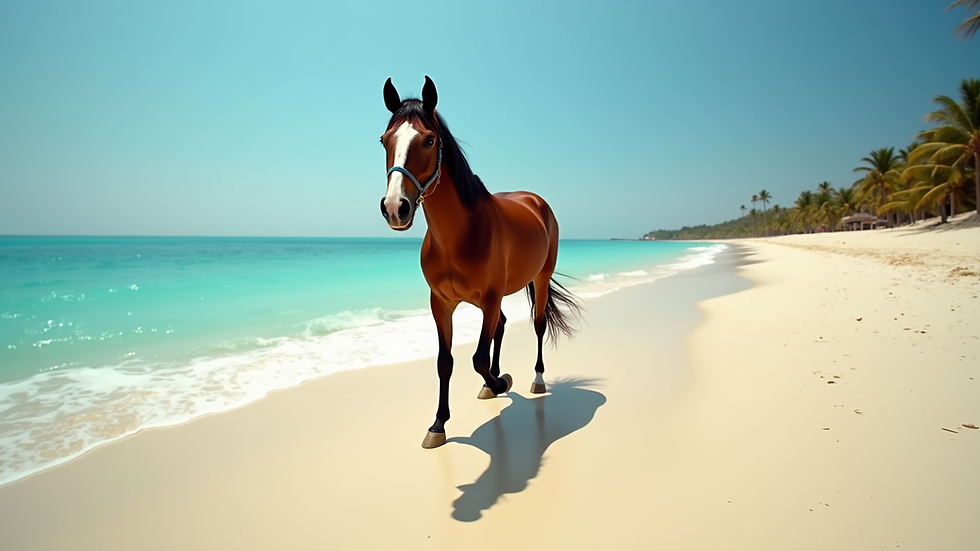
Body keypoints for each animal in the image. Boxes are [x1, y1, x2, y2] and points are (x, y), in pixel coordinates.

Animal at [379, 76, 581, 449]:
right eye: (384, 140)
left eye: (429, 140)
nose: (395, 207)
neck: (458, 236)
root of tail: (536, 200)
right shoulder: (441, 303)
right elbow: (446, 362)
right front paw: (438, 424)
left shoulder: (489, 297)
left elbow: (477, 358)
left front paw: (503, 381)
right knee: (501, 325)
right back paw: (491, 385)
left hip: (539, 280)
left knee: (537, 325)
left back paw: (535, 380)